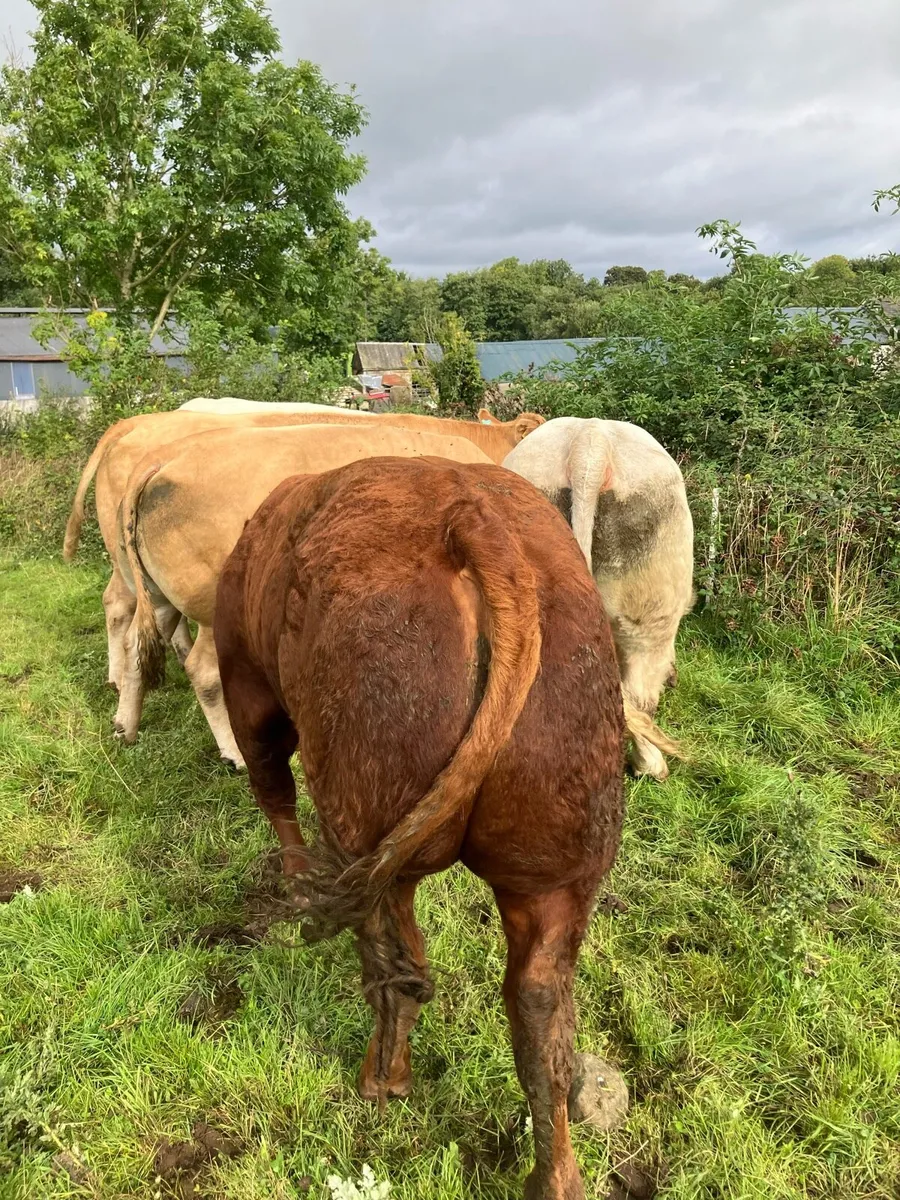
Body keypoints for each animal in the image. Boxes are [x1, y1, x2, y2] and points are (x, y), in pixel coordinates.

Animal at [114, 425, 495, 766]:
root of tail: (160, 462)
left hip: (155, 596)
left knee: (135, 642)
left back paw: (125, 726)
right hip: (214, 608)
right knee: (205, 672)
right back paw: (235, 753)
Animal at [212, 454, 634, 1200]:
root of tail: (472, 516)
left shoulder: (247, 686)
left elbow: (272, 792)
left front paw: (292, 881)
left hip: (369, 822)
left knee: (396, 963)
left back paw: (381, 1081)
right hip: (555, 865)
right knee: (539, 1006)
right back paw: (553, 1175)